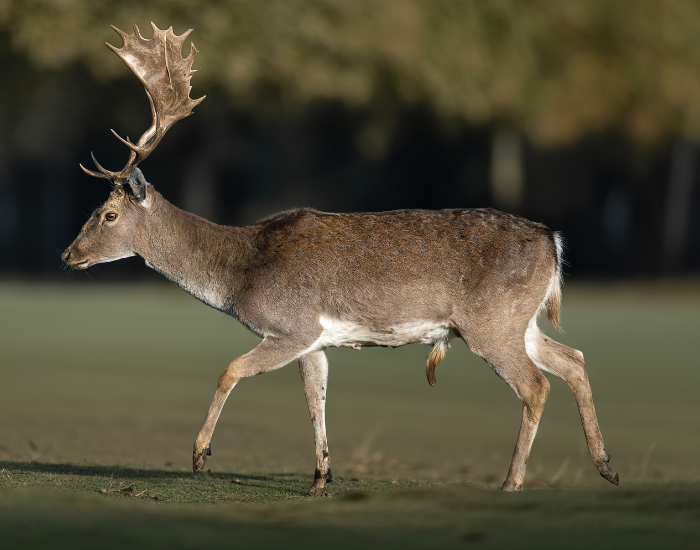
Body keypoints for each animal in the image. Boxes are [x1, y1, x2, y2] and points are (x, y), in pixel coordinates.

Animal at [62, 23, 619, 495]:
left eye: (108, 214)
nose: (69, 255)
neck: (239, 273)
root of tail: (553, 240)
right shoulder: (315, 339)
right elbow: (316, 400)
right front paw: (320, 478)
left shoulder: (291, 325)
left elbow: (230, 370)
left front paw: (199, 457)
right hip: (518, 320)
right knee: (573, 359)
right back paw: (605, 465)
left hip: (490, 321)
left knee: (537, 384)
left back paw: (513, 481)